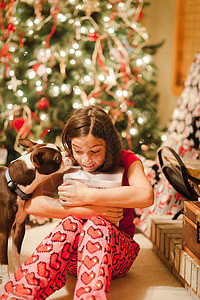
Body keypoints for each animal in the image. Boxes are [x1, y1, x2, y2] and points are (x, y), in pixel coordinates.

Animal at [0, 138, 71, 286]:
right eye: (57, 158)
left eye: (59, 148)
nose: (68, 153)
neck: (14, 184)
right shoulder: (3, 233)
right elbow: (4, 263)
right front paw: (5, 283)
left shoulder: (19, 228)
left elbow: (15, 255)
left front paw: (17, 275)